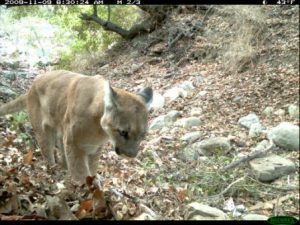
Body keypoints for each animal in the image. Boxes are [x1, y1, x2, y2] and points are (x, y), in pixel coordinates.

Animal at [0, 70, 154, 183]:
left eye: (143, 135)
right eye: (123, 132)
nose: (132, 155)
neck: (100, 131)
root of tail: (32, 86)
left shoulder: (94, 148)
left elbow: (92, 167)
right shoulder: (74, 144)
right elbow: (80, 171)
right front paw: (89, 191)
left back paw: (64, 168)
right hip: (43, 132)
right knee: (47, 152)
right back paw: (55, 173)